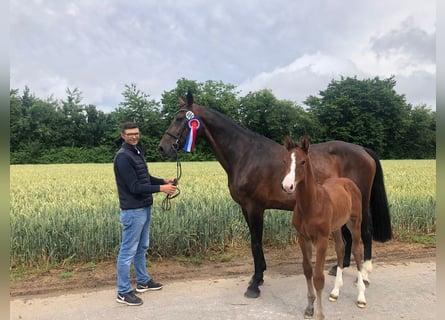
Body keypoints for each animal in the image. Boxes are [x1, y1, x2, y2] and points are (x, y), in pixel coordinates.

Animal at [158, 94, 390, 298]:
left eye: (180, 118)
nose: (163, 148)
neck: (245, 154)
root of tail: (363, 150)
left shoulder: (255, 208)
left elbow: (255, 243)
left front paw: (254, 285)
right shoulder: (245, 208)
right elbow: (255, 243)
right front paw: (259, 277)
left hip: (361, 204)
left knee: (365, 232)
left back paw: (364, 275)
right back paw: (338, 268)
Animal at [282, 136, 366, 320]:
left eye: (303, 162)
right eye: (284, 161)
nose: (287, 186)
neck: (311, 205)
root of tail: (348, 182)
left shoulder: (321, 240)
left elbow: (319, 277)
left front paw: (320, 314)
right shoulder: (303, 238)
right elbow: (307, 270)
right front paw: (309, 308)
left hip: (354, 223)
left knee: (357, 250)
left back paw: (361, 297)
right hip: (336, 227)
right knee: (341, 248)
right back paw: (335, 292)